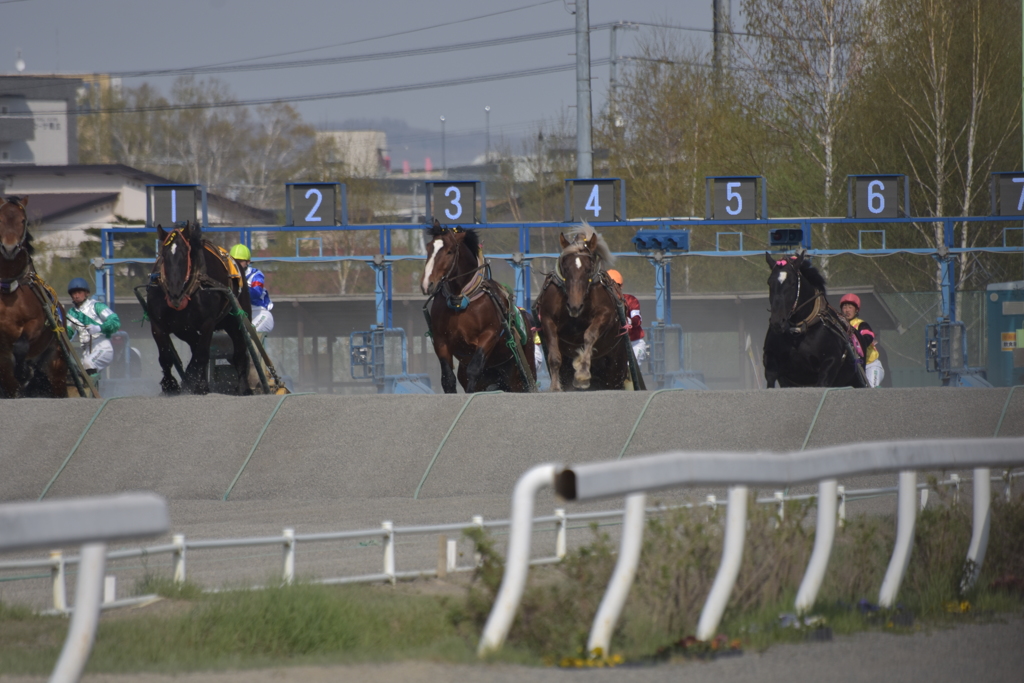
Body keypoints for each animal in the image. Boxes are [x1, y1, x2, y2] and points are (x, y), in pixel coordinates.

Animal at [0, 196, 68, 401]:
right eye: (0, 218)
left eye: (22, 220)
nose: (9, 248)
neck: (9, 289)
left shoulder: (38, 322)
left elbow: (22, 345)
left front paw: (24, 371)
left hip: (56, 360)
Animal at [146, 222, 251, 395]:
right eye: (163, 255)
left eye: (185, 254)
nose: (174, 292)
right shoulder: (157, 324)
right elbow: (165, 357)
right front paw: (170, 384)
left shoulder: (208, 323)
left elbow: (201, 354)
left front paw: (198, 384)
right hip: (184, 328)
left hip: (236, 319)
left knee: (239, 350)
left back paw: (243, 387)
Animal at [421, 222, 536, 393]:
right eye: (428, 248)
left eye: (449, 251)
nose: (427, 284)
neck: (460, 301)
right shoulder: (441, 339)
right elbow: (447, 378)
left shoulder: (489, 335)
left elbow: (474, 370)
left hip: (520, 374)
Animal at [532, 224, 634, 393]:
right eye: (565, 267)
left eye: (588, 269)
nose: (575, 306)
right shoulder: (547, 318)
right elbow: (554, 355)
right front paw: (555, 386)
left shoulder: (605, 313)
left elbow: (590, 335)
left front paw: (582, 373)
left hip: (617, 365)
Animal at [765, 252, 868, 389]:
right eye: (769, 282)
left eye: (792, 283)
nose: (777, 322)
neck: (798, 331)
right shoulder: (773, 361)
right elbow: (771, 376)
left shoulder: (830, 362)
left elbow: (823, 380)